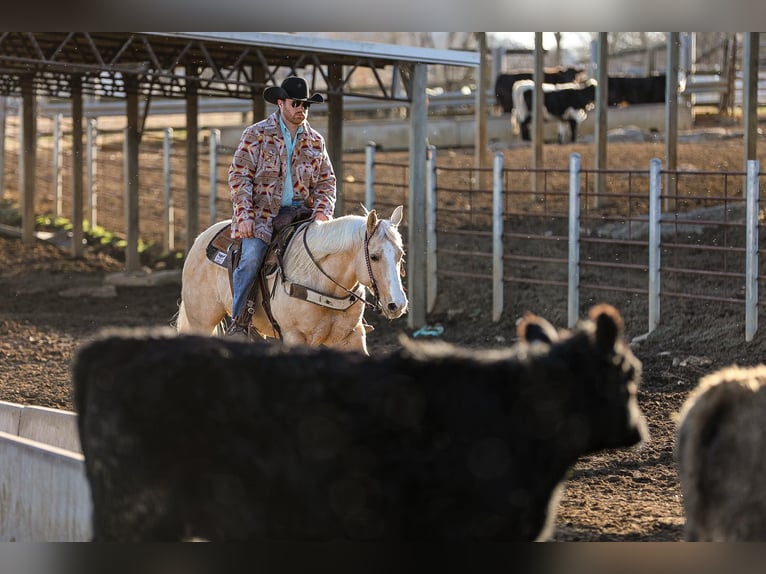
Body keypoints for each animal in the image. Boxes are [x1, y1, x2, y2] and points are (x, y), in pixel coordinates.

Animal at [177, 202, 412, 356]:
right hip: (201, 321)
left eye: (401, 254)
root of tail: (200, 239)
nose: (397, 304)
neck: (324, 284)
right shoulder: (295, 336)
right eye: (374, 256)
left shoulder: (351, 336)